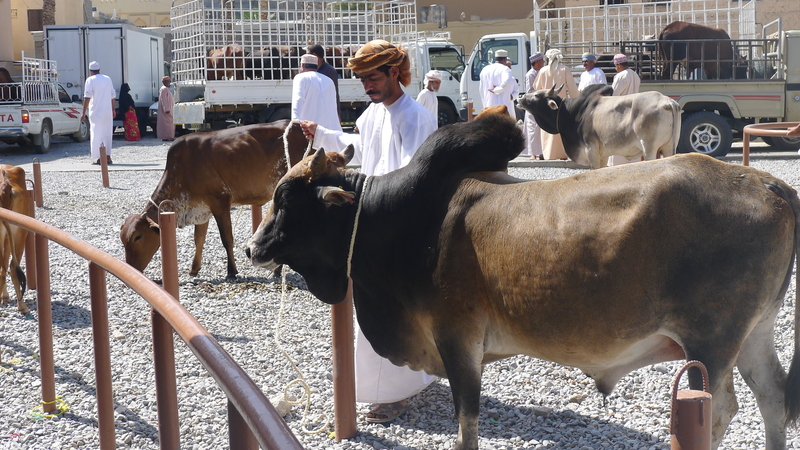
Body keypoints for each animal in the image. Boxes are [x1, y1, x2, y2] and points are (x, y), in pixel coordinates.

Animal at [120, 121, 310, 280]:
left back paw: (279, 270)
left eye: (138, 237)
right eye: (123, 240)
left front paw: (231, 272)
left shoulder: (220, 202)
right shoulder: (202, 209)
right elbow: (199, 239)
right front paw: (194, 269)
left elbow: (227, 239)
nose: (130, 268)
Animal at [516, 83, 680, 168]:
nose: (520, 97)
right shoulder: (603, 154)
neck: (571, 113)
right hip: (669, 147)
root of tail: (667, 102)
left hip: (649, 149)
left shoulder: (591, 150)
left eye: (537, 95)